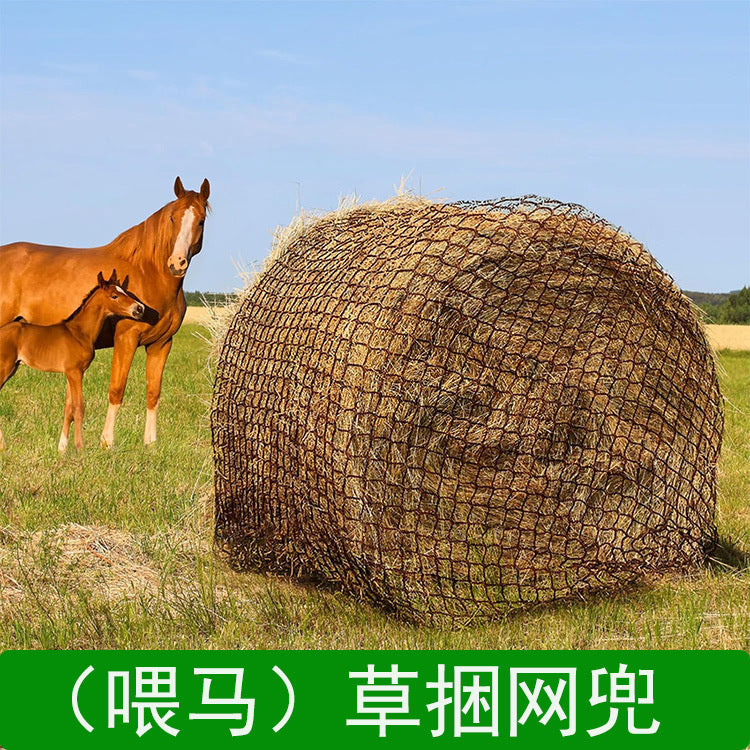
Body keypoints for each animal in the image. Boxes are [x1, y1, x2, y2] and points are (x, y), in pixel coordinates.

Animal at [0, 271, 146, 452]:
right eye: (114, 296)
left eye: (125, 292)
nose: (140, 309)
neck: (79, 332)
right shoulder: (75, 372)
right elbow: (79, 408)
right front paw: (80, 447)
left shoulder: (71, 373)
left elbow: (69, 408)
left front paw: (62, 449)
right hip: (4, 368)